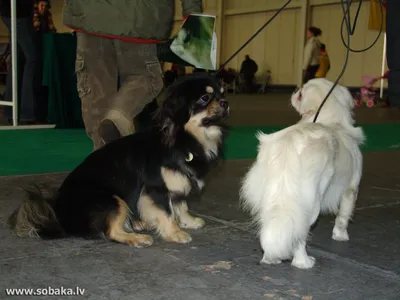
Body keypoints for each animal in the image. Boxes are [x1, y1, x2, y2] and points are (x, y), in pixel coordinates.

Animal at [8, 72, 228, 246]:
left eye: (223, 93)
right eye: (205, 97)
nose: (225, 103)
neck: (182, 138)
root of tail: (58, 214)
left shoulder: (178, 184)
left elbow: (181, 206)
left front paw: (188, 221)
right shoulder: (156, 188)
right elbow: (166, 212)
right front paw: (175, 233)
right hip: (112, 200)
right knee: (110, 232)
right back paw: (137, 238)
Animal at [241, 78, 366, 270]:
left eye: (300, 94)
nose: (295, 90)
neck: (331, 121)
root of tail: (290, 146)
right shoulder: (351, 189)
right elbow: (343, 216)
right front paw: (340, 236)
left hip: (269, 196)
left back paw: (270, 258)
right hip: (310, 203)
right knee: (299, 235)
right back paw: (304, 262)